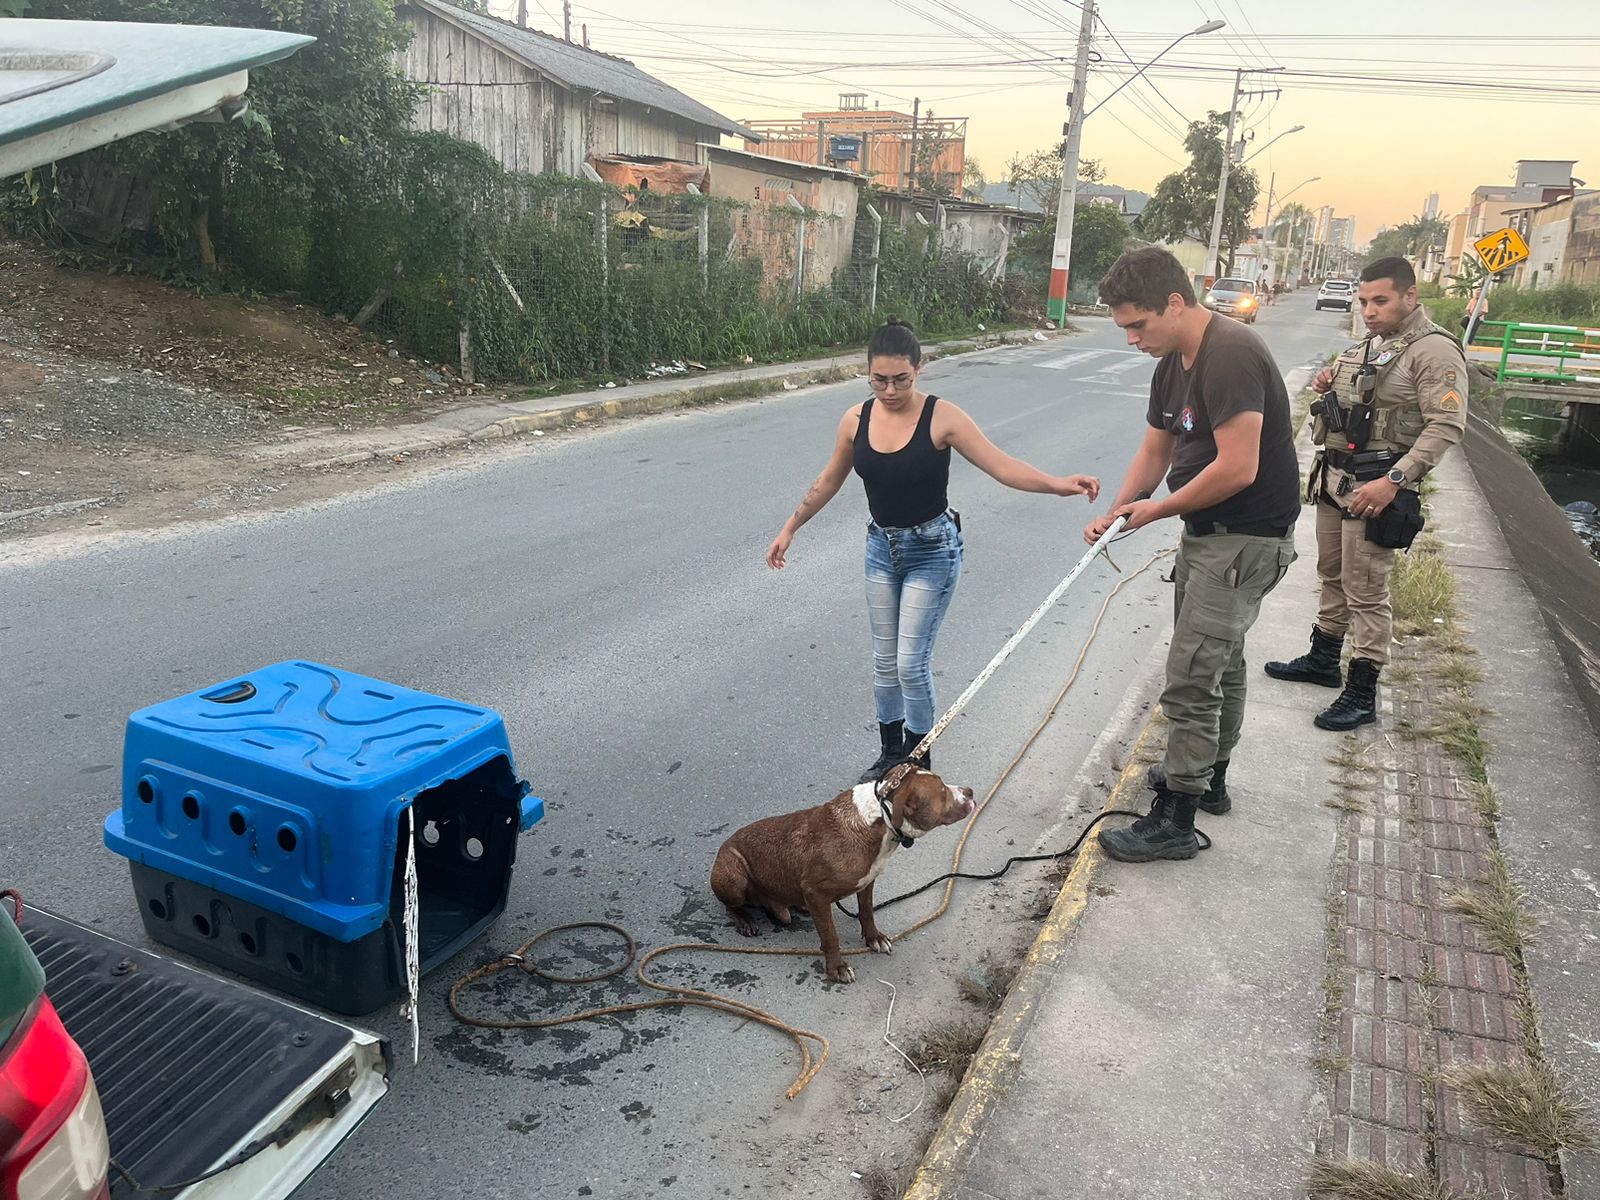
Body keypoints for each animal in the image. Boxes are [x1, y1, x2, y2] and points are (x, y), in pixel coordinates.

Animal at [710, 771, 972, 985]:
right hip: (733, 876)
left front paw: (873, 938)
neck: (879, 819)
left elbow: (866, 912)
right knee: (730, 905)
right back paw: (744, 919)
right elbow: (830, 935)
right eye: (942, 791)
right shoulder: (816, 893)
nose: (969, 791)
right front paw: (836, 967)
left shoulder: (867, 882)